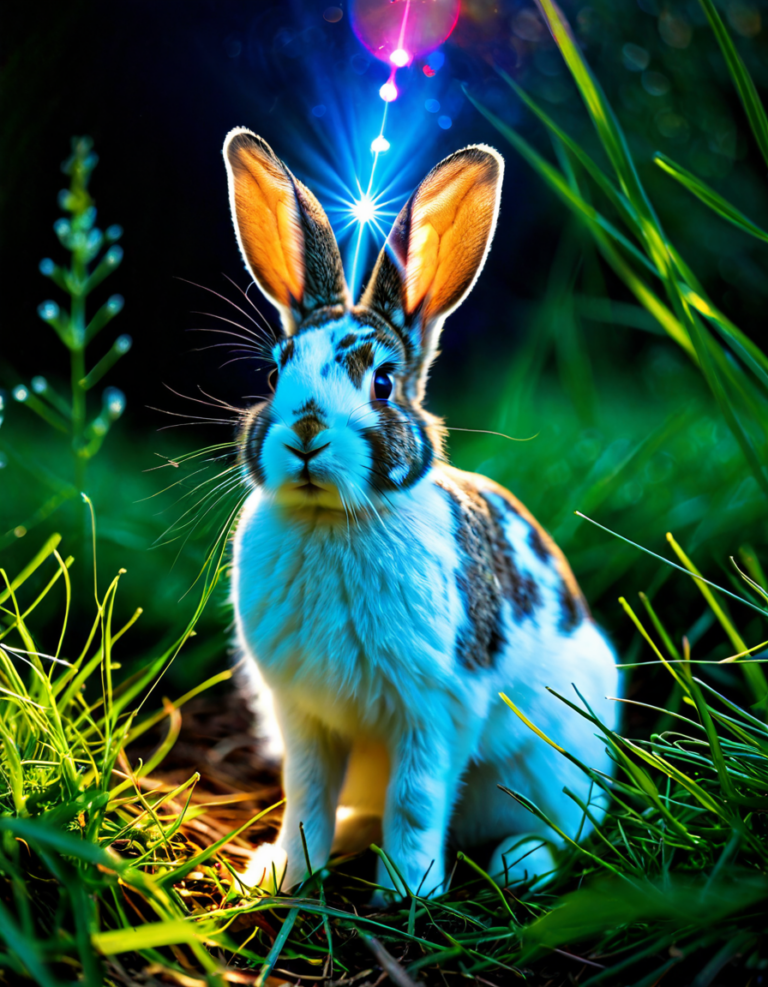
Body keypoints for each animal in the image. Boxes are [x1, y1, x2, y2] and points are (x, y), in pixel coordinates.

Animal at [223, 128, 619, 900]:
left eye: (382, 383)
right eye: (275, 372)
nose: (307, 434)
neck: (334, 519)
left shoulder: (433, 709)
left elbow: (417, 799)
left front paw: (406, 891)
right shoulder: (303, 716)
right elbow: (307, 793)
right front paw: (285, 873)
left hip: (555, 760)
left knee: (563, 829)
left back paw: (519, 863)